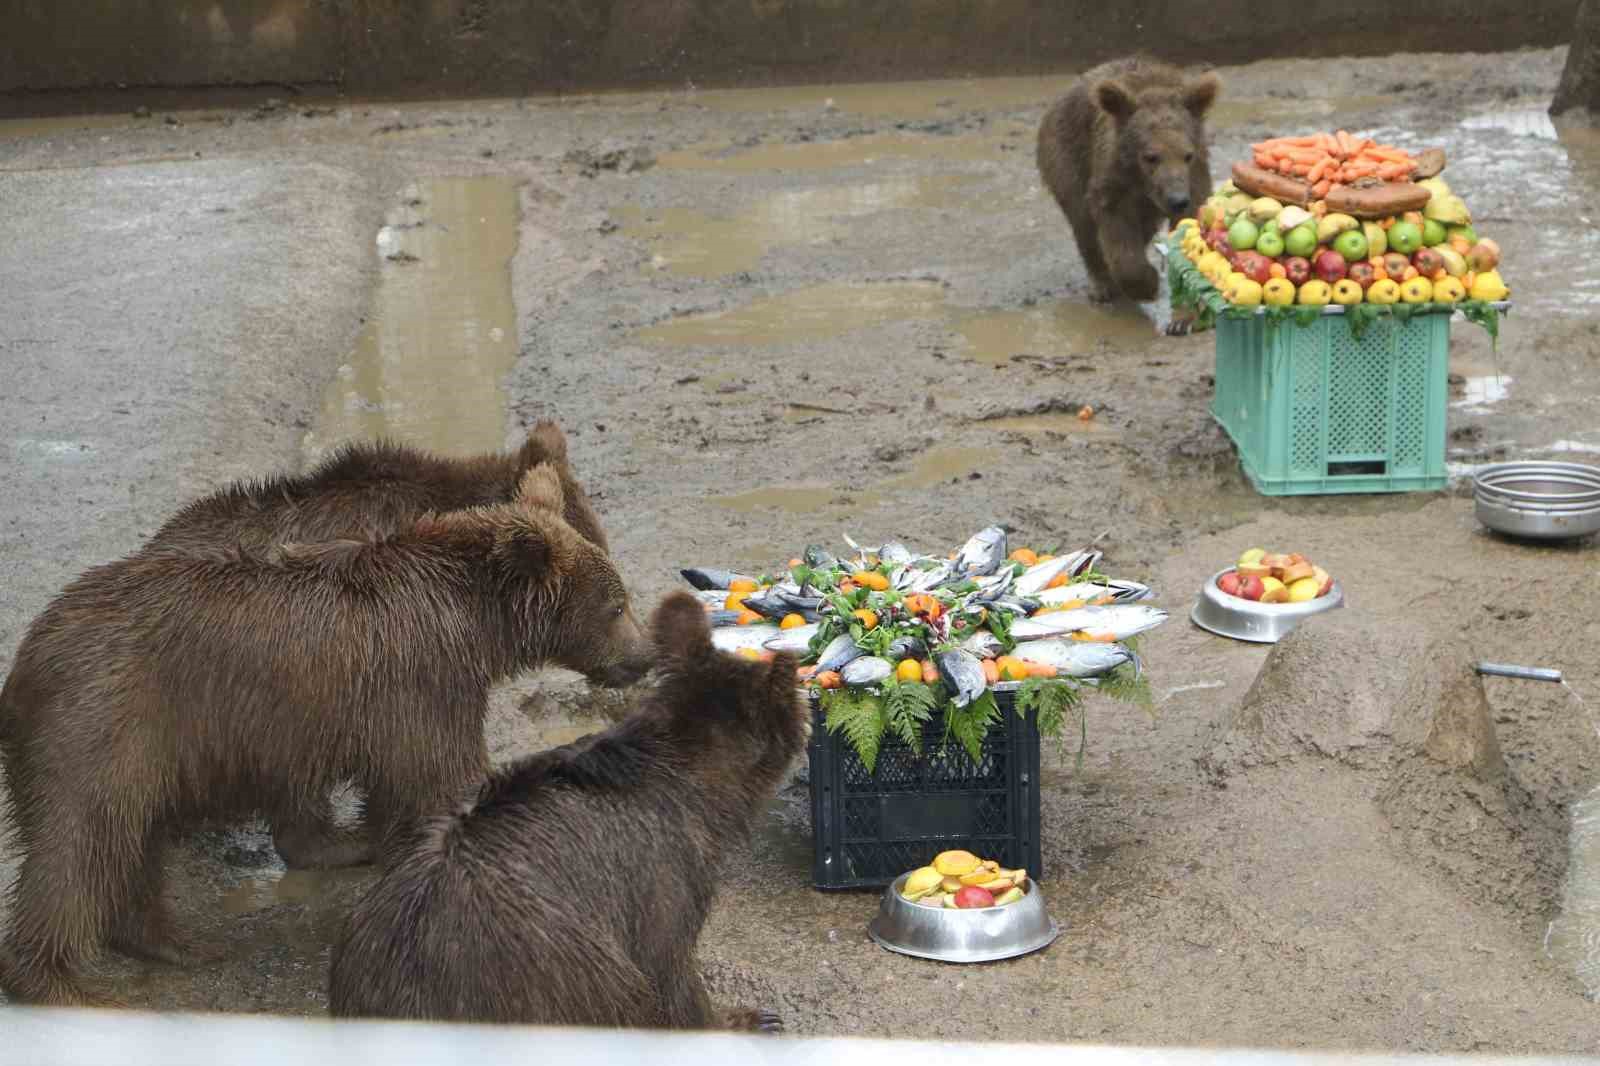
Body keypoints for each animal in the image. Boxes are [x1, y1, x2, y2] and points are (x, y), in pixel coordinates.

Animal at [0, 460, 652, 998]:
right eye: (617, 605)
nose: (645, 656)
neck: (475, 624)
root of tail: (30, 655)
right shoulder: (423, 679)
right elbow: (439, 776)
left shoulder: (399, 695)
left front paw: (380, 847)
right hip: (108, 722)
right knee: (80, 843)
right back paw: (57, 981)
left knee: (133, 839)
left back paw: (175, 940)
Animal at [1030, 54, 1216, 326]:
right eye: (1151, 157)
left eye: (1187, 155)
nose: (1176, 200)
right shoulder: (1113, 183)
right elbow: (1117, 235)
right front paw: (1147, 284)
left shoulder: (1194, 178)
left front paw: (1183, 318)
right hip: (1066, 156)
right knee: (1083, 222)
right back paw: (1102, 286)